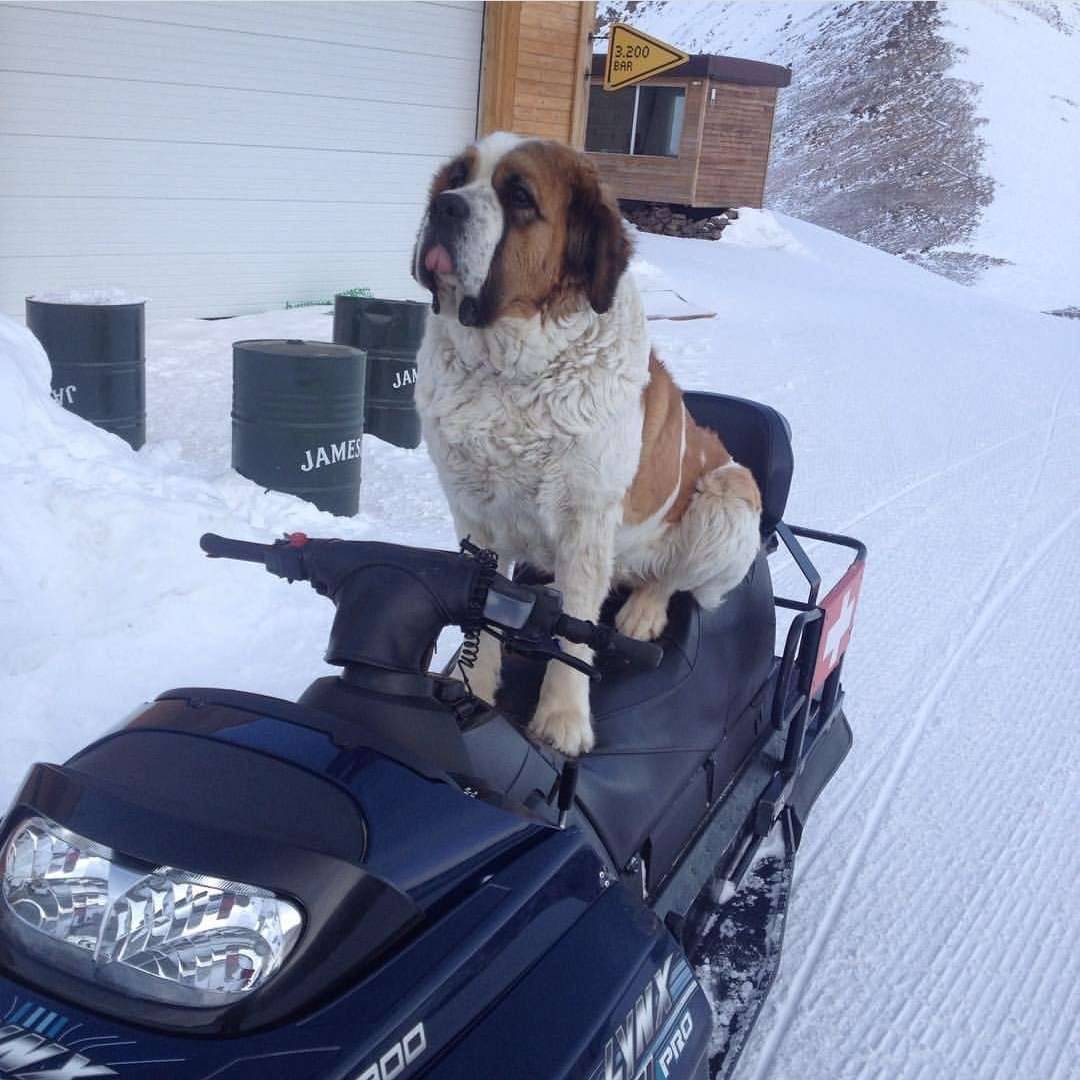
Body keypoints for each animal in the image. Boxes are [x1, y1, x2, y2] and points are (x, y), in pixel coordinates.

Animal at [410, 135, 760, 756]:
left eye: (519, 196)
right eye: (455, 177)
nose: (444, 207)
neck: (508, 372)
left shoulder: (587, 518)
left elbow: (574, 629)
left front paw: (563, 719)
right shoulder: (472, 512)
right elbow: (480, 608)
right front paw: (472, 683)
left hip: (728, 497)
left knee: (675, 580)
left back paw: (642, 611)